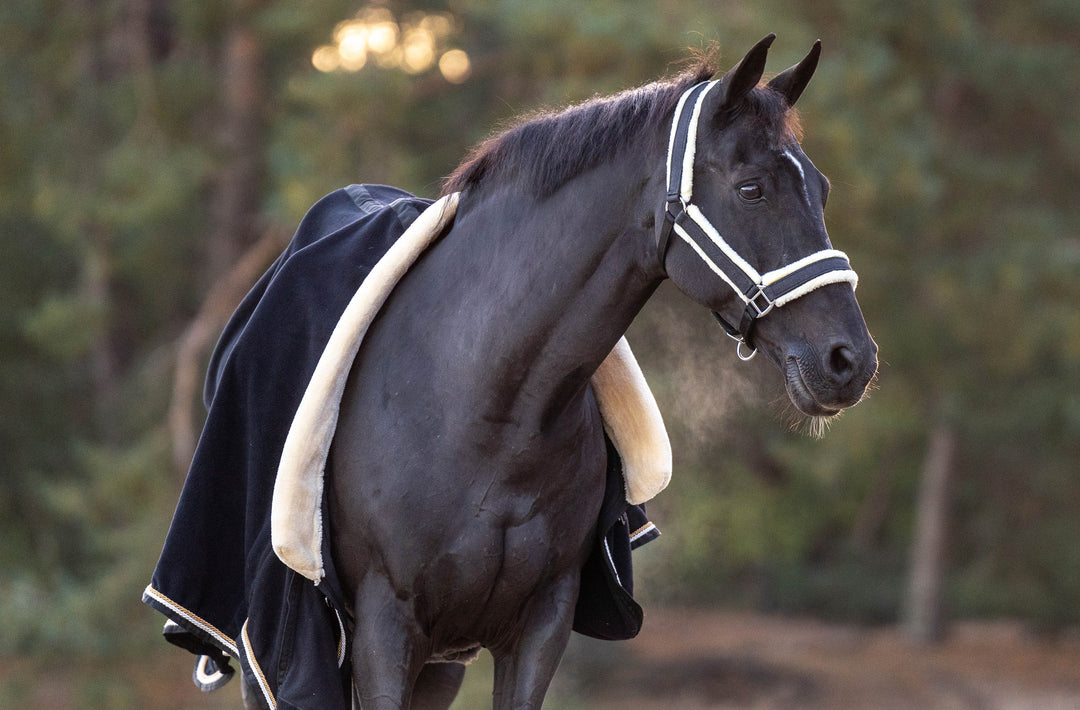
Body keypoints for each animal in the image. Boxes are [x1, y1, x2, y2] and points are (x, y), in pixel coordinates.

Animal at [321, 35, 876, 704]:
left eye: (821, 189)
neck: (483, 411)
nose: (850, 360)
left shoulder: (539, 627)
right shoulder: (384, 634)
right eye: (751, 190)